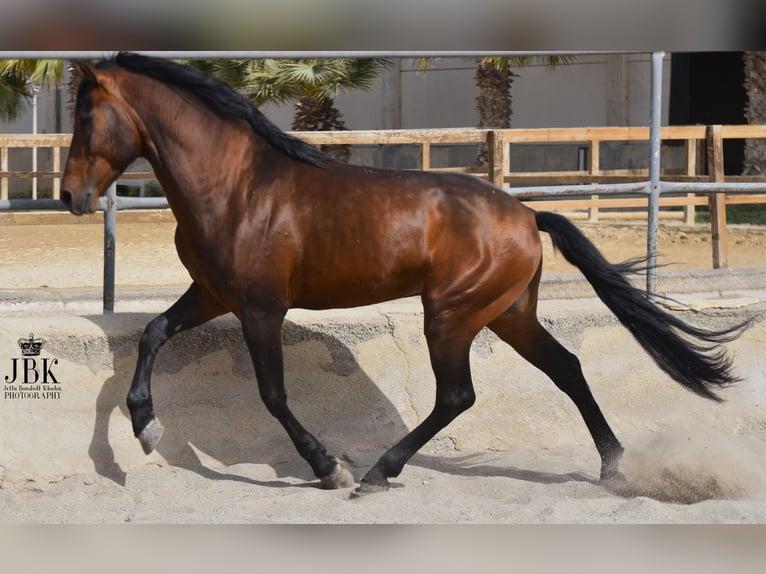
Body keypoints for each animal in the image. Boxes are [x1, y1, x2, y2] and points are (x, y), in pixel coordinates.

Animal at [63, 51, 748, 498]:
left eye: (84, 117)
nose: (71, 196)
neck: (237, 186)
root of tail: (528, 214)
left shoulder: (260, 309)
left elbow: (273, 394)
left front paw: (327, 468)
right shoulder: (211, 294)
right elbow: (153, 332)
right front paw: (145, 428)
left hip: (450, 315)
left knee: (458, 396)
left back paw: (375, 474)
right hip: (508, 314)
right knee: (567, 369)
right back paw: (613, 469)